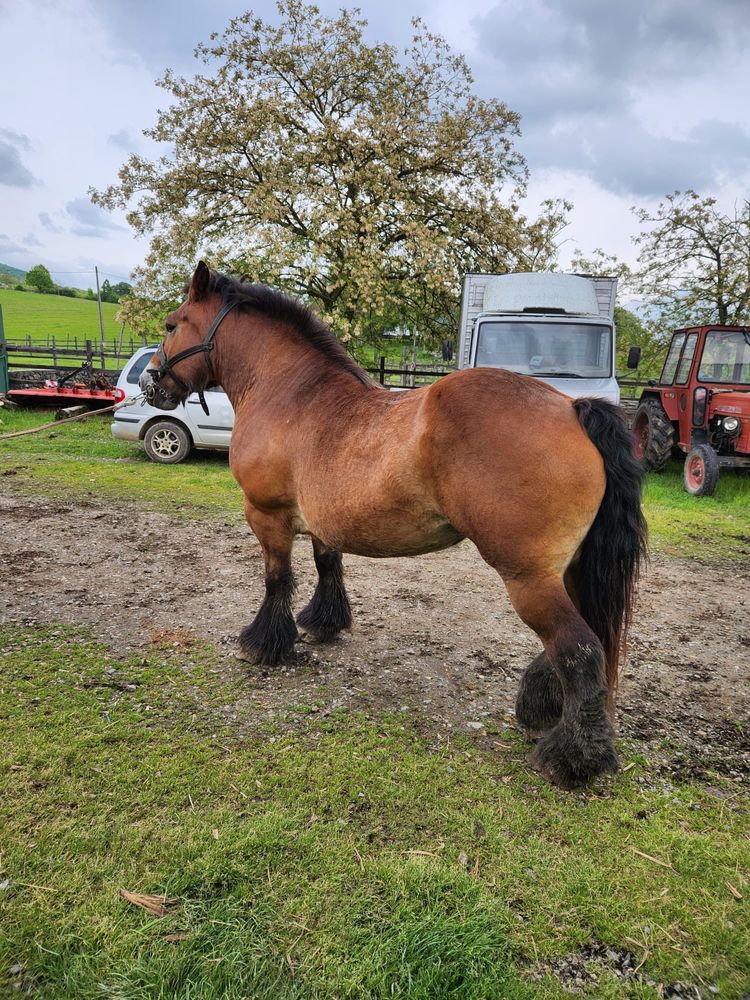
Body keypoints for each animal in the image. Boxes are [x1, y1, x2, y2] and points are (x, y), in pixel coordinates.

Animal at [144, 264, 648, 788]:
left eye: (171, 325)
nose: (149, 381)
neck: (291, 394)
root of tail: (571, 408)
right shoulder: (323, 521)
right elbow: (327, 567)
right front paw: (323, 623)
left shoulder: (267, 515)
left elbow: (276, 580)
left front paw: (262, 644)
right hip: (565, 571)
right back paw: (540, 709)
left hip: (528, 577)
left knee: (580, 648)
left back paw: (572, 757)